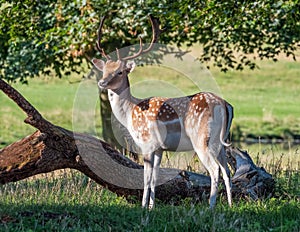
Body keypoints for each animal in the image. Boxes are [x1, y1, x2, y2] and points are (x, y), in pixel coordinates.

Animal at [92, 15, 234, 209]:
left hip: (202, 138)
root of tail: (224, 105)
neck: (130, 112)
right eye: (104, 71)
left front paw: (143, 207)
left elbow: (145, 178)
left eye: (120, 72)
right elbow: (154, 178)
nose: (102, 83)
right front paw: (152, 207)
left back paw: (211, 206)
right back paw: (230, 205)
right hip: (221, 142)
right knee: (227, 170)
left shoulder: (146, 143)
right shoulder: (159, 148)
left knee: (214, 169)